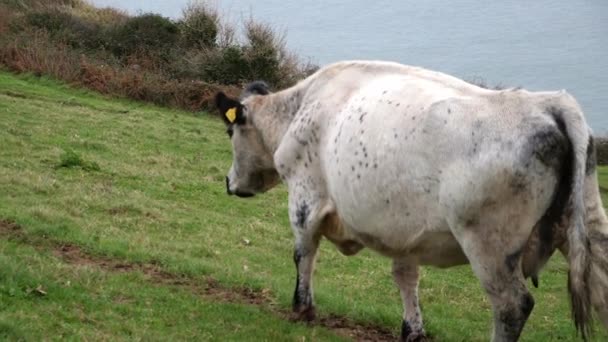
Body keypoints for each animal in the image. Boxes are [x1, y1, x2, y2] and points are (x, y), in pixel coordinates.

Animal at [214, 60, 608, 340]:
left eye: (230, 131)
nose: (229, 182)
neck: (300, 108)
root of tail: (548, 103)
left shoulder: (305, 196)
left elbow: (303, 253)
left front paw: (302, 309)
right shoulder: (403, 229)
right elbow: (405, 277)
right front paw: (412, 331)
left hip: (488, 244)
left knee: (512, 305)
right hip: (591, 227)